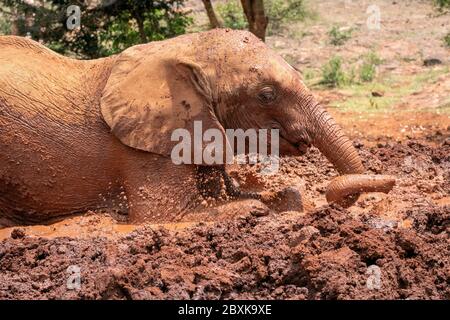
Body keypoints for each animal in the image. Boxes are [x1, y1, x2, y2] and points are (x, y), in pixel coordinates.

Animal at [0, 29, 394, 225]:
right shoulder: (146, 146)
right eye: (266, 95)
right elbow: (168, 216)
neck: (182, 50)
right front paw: (260, 210)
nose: (391, 181)